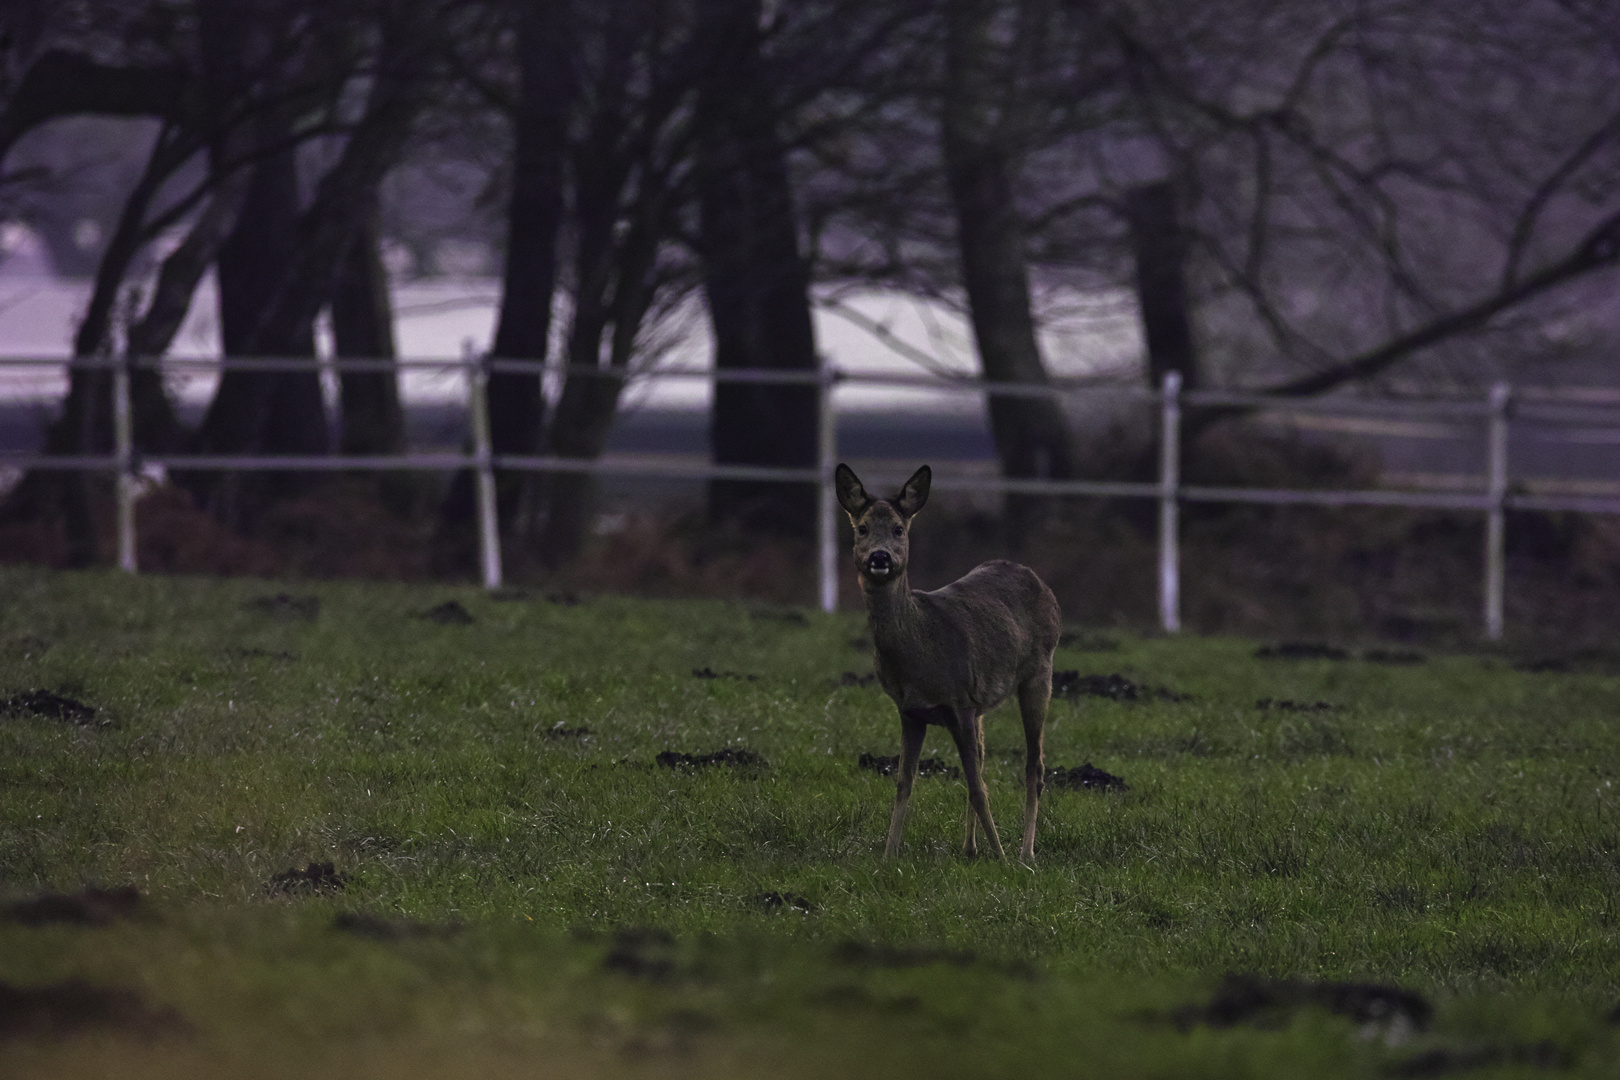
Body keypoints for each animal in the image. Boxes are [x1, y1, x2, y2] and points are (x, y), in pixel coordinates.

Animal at [835, 463, 1062, 861]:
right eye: (861, 527)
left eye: (899, 528)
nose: (880, 557)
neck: (920, 651)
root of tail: (1039, 582)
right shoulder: (911, 710)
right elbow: (904, 782)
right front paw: (888, 854)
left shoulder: (959, 702)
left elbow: (976, 787)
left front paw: (1001, 858)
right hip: (985, 701)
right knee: (986, 758)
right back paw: (970, 847)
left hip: (1039, 671)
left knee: (1034, 764)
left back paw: (1024, 853)